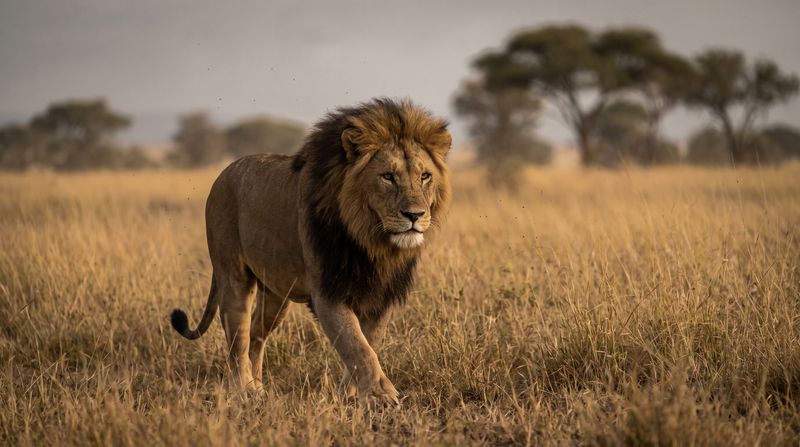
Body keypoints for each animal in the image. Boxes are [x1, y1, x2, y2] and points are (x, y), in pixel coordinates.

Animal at [170, 98, 451, 403]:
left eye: (425, 176)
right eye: (388, 176)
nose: (414, 215)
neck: (373, 244)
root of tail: (223, 173)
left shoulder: (380, 295)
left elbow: (366, 344)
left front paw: (348, 395)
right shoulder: (327, 291)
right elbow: (357, 346)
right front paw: (382, 395)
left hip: (276, 294)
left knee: (256, 333)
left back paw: (258, 388)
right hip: (233, 278)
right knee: (237, 341)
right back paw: (244, 391)